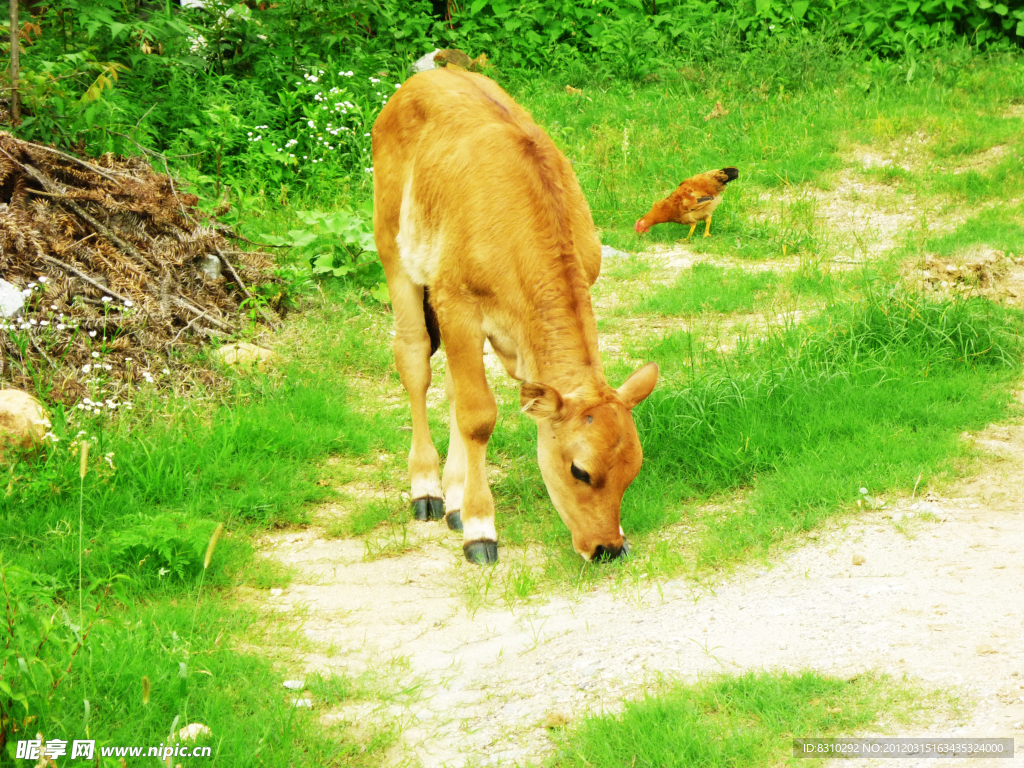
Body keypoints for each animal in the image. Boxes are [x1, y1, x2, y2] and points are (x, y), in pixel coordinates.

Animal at [370, 69, 655, 565]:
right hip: (394, 249)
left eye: (633, 469)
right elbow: (478, 415)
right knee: (414, 360)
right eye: (580, 471)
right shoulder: (457, 303)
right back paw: (426, 489)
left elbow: (466, 402)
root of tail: (426, 76)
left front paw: (465, 506)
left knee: (449, 386)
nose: (608, 547)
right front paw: (480, 529)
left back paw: (453, 495)